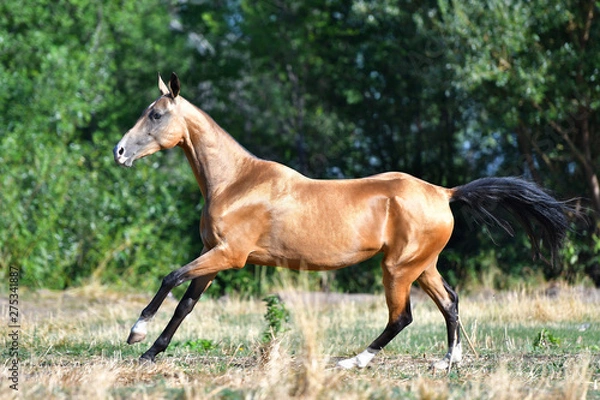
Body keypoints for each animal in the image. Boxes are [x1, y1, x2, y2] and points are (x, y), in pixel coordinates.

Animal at [113, 72, 572, 368]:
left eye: (156, 114)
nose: (119, 151)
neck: (236, 182)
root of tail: (444, 193)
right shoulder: (213, 255)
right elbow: (185, 305)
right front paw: (150, 353)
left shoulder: (229, 255)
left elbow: (170, 278)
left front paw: (136, 332)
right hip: (423, 266)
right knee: (451, 302)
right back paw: (447, 363)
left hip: (398, 269)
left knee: (403, 317)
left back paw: (355, 362)